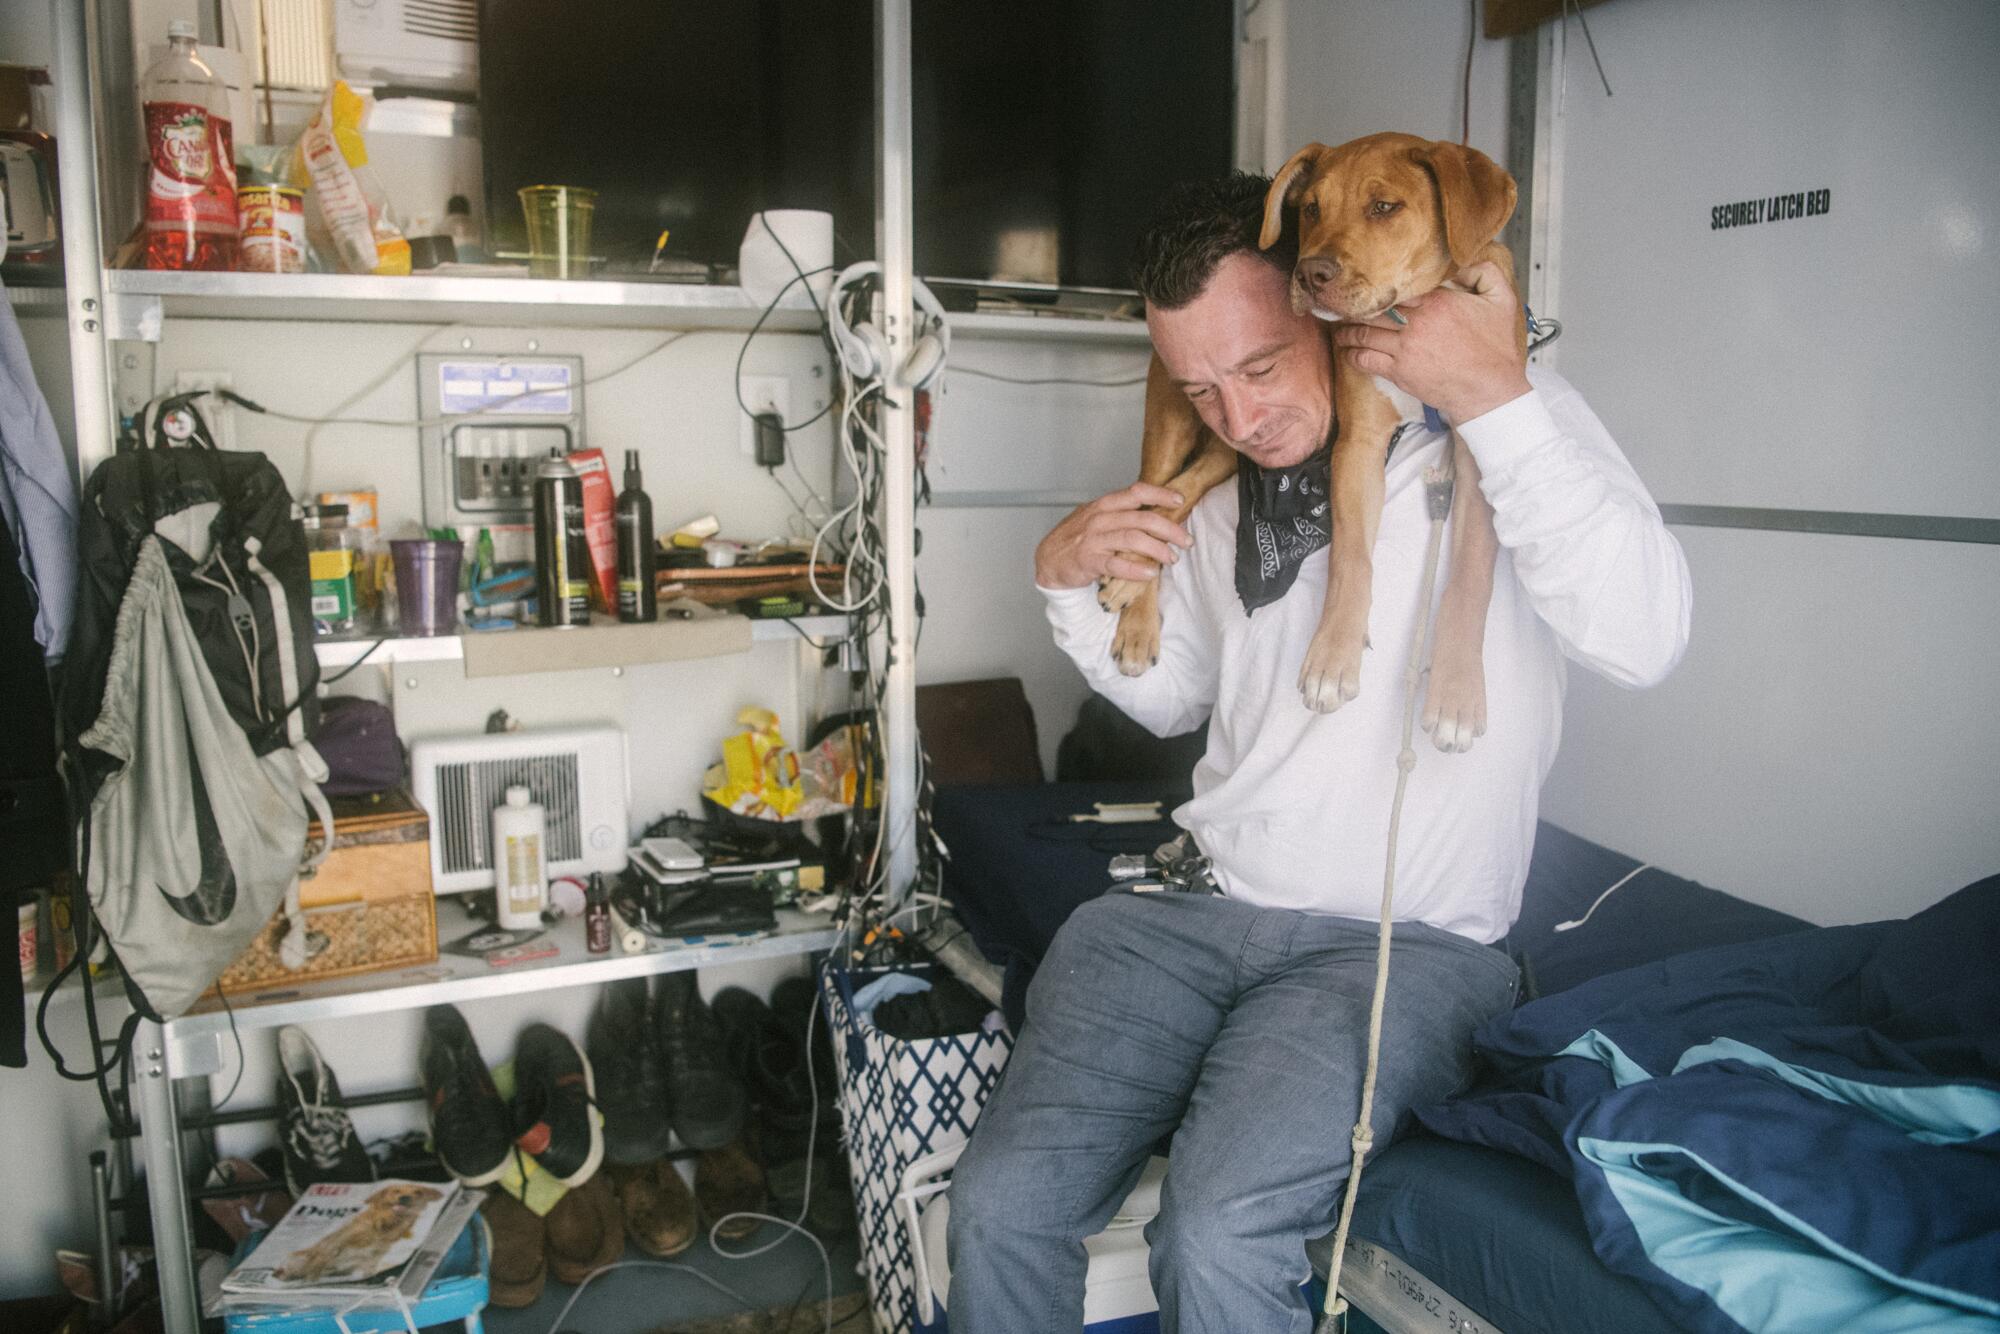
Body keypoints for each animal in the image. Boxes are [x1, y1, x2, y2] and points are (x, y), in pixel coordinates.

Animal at [274, 1184, 442, 1288]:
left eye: (418, 1192)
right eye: (395, 1191)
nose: (405, 1198)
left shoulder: (371, 1261)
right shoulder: (333, 1247)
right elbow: (316, 1269)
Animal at [1104, 134, 1520, 752]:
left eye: (1385, 207)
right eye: (1311, 209)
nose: (1309, 273)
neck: (1411, 313)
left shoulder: (1478, 448)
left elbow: (1472, 575)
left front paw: (1457, 697)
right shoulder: (1359, 442)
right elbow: (1351, 558)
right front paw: (1332, 659)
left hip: (1233, 441)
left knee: (1181, 495)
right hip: (1174, 416)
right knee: (1154, 495)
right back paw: (1134, 611)